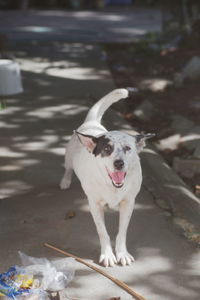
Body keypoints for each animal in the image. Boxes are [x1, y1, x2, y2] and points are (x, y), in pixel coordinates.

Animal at [60, 88, 154, 268]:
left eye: (128, 148)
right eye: (107, 149)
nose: (118, 163)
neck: (111, 185)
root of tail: (91, 124)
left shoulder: (129, 203)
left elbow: (122, 231)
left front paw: (122, 253)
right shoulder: (94, 205)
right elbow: (102, 231)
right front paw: (108, 255)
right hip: (68, 157)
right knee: (68, 168)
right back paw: (65, 181)